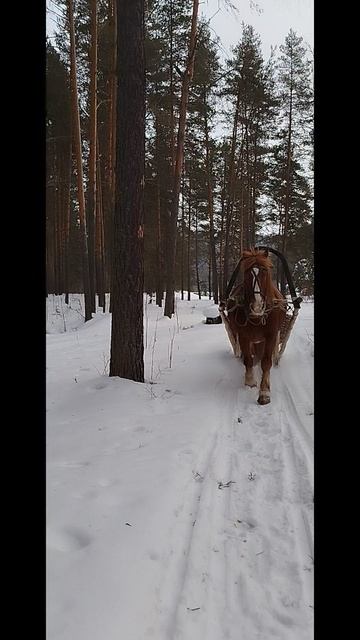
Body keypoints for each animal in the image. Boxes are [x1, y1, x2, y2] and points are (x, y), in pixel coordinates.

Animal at [221, 250, 286, 404]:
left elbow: (266, 362)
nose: (257, 305)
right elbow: (248, 360)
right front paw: (250, 381)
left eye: (265, 271)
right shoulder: (244, 336)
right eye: (246, 273)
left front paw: (264, 391)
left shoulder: (271, 336)